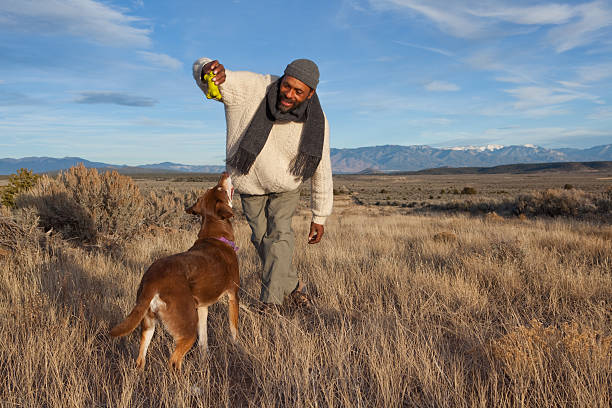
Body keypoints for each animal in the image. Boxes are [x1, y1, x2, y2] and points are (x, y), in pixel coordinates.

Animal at [109, 172, 238, 370]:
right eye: (220, 188)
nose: (225, 173)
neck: (216, 235)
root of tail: (152, 280)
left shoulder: (202, 307)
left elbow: (204, 340)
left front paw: (205, 360)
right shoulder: (233, 293)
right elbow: (234, 329)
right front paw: (238, 349)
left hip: (148, 324)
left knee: (140, 359)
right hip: (186, 328)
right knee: (173, 361)